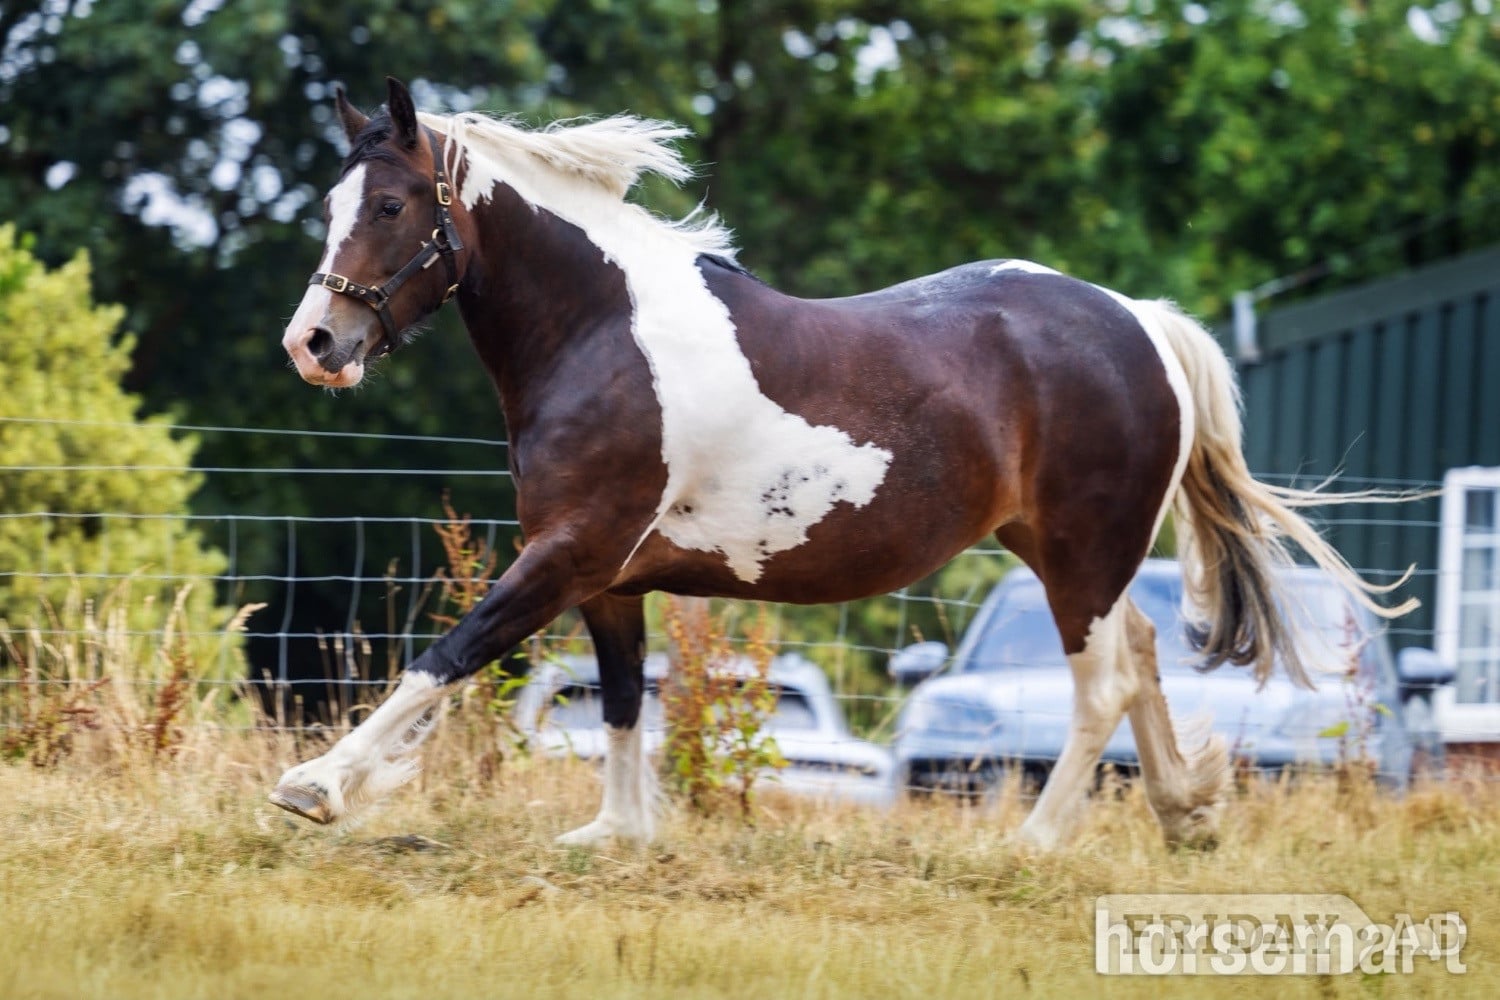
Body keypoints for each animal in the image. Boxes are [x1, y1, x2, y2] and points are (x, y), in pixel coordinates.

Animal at [271, 78, 1411, 850]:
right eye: (329, 210)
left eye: (390, 207)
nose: (313, 343)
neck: (602, 333)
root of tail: (1142, 322)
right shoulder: (606, 577)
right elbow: (624, 698)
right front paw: (618, 835)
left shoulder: (566, 553)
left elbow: (448, 652)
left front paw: (317, 784)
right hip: (1065, 550)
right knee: (1138, 659)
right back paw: (1185, 814)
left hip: (1085, 551)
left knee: (1105, 685)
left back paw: (1034, 845)